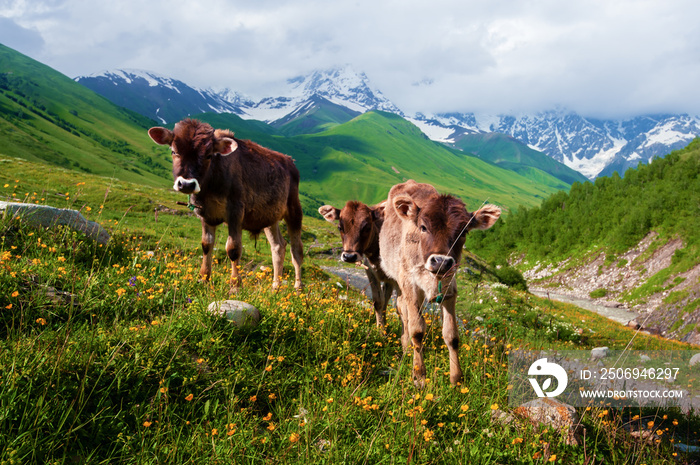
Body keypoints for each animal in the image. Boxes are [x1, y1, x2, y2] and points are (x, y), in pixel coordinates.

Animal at [380, 179, 500, 386]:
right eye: (423, 227)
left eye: (464, 232)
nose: (442, 261)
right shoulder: (410, 285)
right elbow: (417, 330)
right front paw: (419, 376)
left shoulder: (450, 289)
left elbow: (452, 335)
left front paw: (456, 379)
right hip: (397, 279)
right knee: (403, 311)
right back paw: (406, 348)